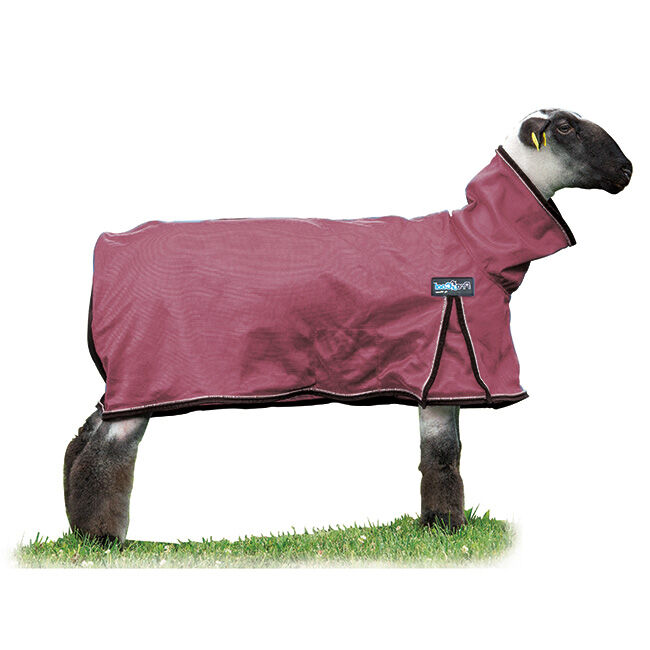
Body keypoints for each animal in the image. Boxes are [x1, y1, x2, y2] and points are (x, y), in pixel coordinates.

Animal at [64, 108, 632, 542]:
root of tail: (108, 246)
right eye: (565, 127)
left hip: (124, 379)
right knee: (106, 453)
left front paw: (435, 526)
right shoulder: (448, 370)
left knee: (85, 434)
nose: (627, 171)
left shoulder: (437, 380)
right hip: (144, 375)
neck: (476, 241)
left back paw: (77, 522)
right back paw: (102, 537)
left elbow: (437, 455)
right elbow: (444, 458)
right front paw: (448, 530)